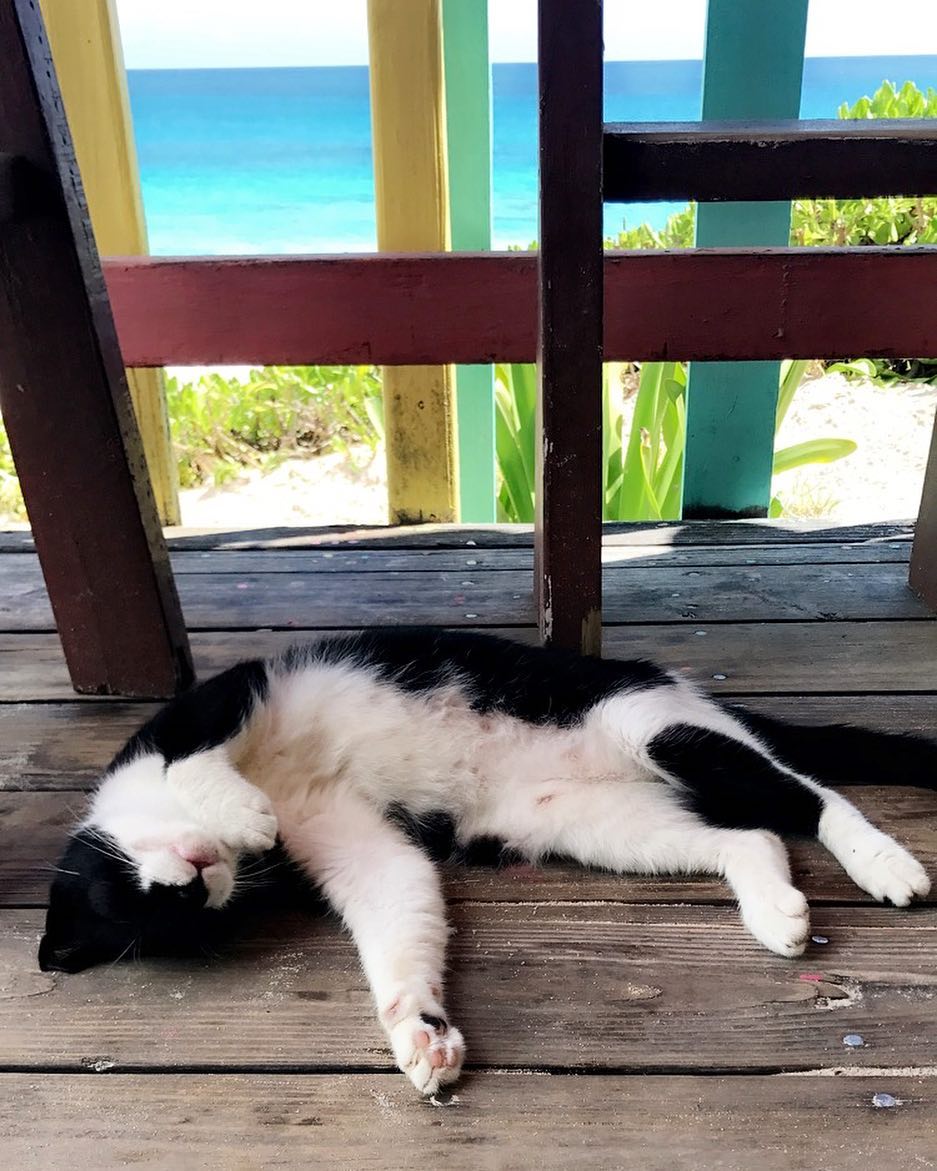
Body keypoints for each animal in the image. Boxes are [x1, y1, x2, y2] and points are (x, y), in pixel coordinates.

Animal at [38, 632, 937, 1096]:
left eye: (144, 890)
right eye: (174, 912)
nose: (195, 874)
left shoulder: (214, 702)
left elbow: (196, 760)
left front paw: (244, 811)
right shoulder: (347, 833)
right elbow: (396, 901)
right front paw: (420, 1029)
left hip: (650, 725)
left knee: (806, 791)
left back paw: (884, 862)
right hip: (585, 819)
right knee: (748, 833)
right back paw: (773, 907)